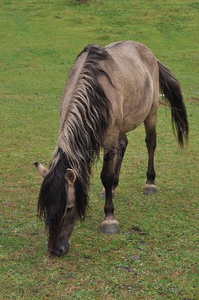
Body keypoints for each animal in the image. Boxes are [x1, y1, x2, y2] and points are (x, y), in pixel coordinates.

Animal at [33, 40, 188, 255]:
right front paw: (110, 190)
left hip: (151, 113)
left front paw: (109, 219)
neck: (95, 90)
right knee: (124, 145)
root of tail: (148, 53)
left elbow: (105, 175)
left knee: (151, 143)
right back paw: (113, 188)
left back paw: (149, 183)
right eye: (46, 206)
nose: (56, 249)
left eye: (70, 208)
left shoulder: (110, 137)